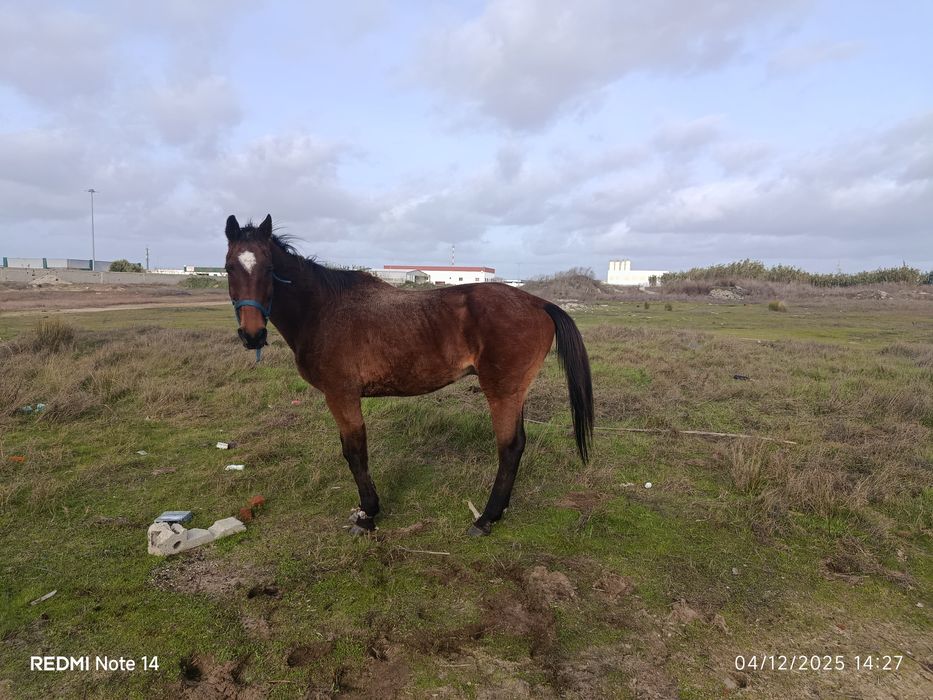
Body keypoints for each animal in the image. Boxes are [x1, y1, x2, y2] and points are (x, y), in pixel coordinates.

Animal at [224, 214, 594, 536]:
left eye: (270, 268)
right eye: (229, 267)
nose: (252, 335)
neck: (322, 310)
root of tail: (539, 303)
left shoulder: (341, 395)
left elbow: (355, 452)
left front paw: (368, 514)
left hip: (502, 391)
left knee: (510, 447)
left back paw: (485, 518)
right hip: (514, 393)